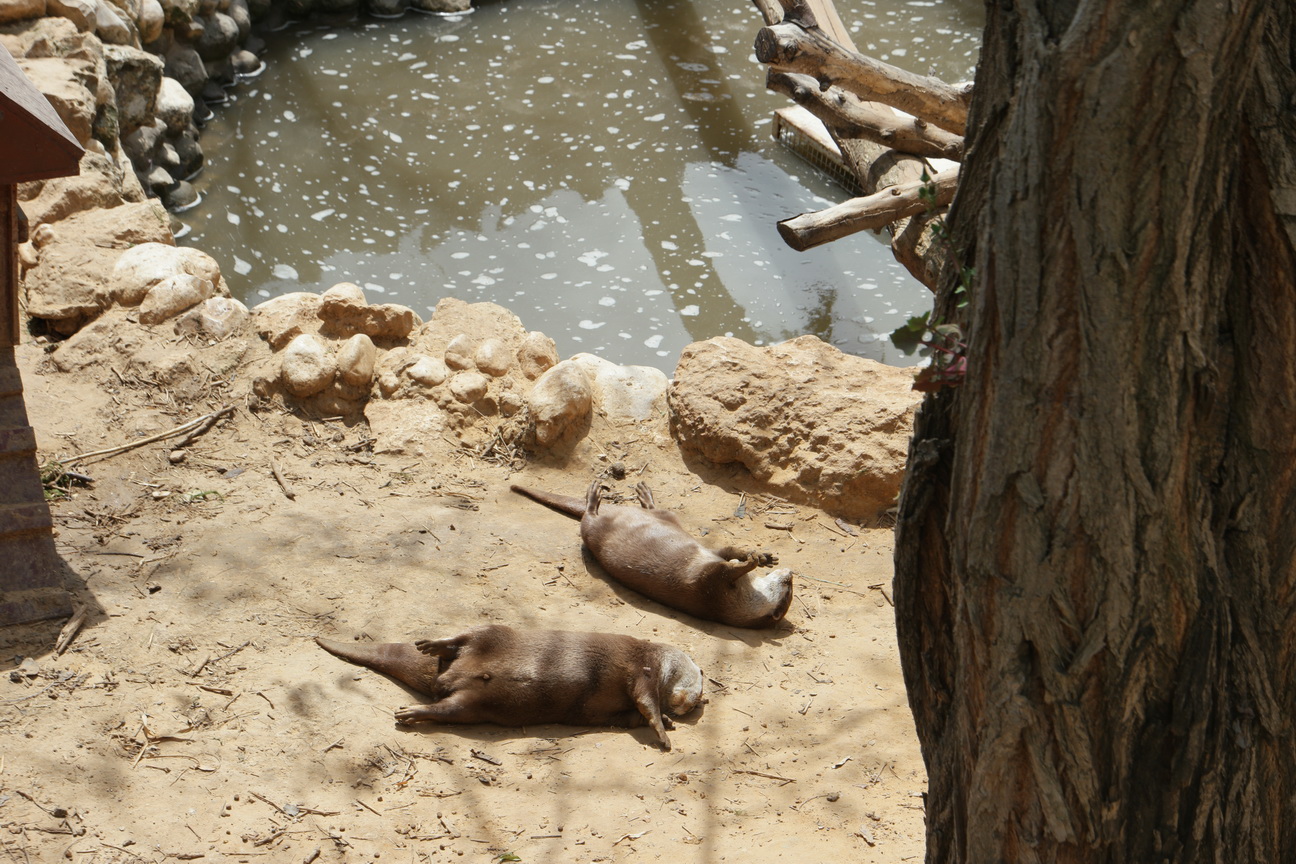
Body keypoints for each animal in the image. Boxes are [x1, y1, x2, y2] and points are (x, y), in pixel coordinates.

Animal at [315, 624, 703, 750]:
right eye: (699, 692)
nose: (692, 705)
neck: (656, 658)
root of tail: (444, 677)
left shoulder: (621, 708)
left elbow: (633, 715)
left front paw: (666, 723)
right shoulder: (643, 669)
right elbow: (646, 701)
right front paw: (664, 731)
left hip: (471, 707)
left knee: (447, 708)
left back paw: (413, 711)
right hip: (492, 633)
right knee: (467, 635)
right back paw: (433, 645)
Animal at [510, 481, 794, 628]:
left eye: (788, 589)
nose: (790, 574)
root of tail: (611, 511)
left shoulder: (709, 587)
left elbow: (723, 570)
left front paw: (749, 562)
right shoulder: (712, 561)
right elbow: (726, 551)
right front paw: (758, 556)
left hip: (592, 531)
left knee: (588, 518)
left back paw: (594, 497)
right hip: (670, 518)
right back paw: (642, 495)